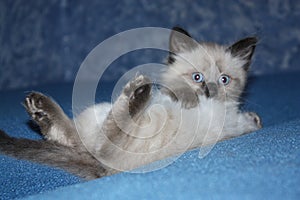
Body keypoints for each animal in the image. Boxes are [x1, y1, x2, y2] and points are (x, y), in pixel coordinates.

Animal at [0, 27, 262, 180]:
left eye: (224, 80)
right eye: (197, 77)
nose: (209, 91)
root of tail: (104, 169)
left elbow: (249, 121)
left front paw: (252, 119)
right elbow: (177, 89)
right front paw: (188, 97)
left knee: (103, 143)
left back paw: (137, 92)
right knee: (77, 139)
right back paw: (40, 109)